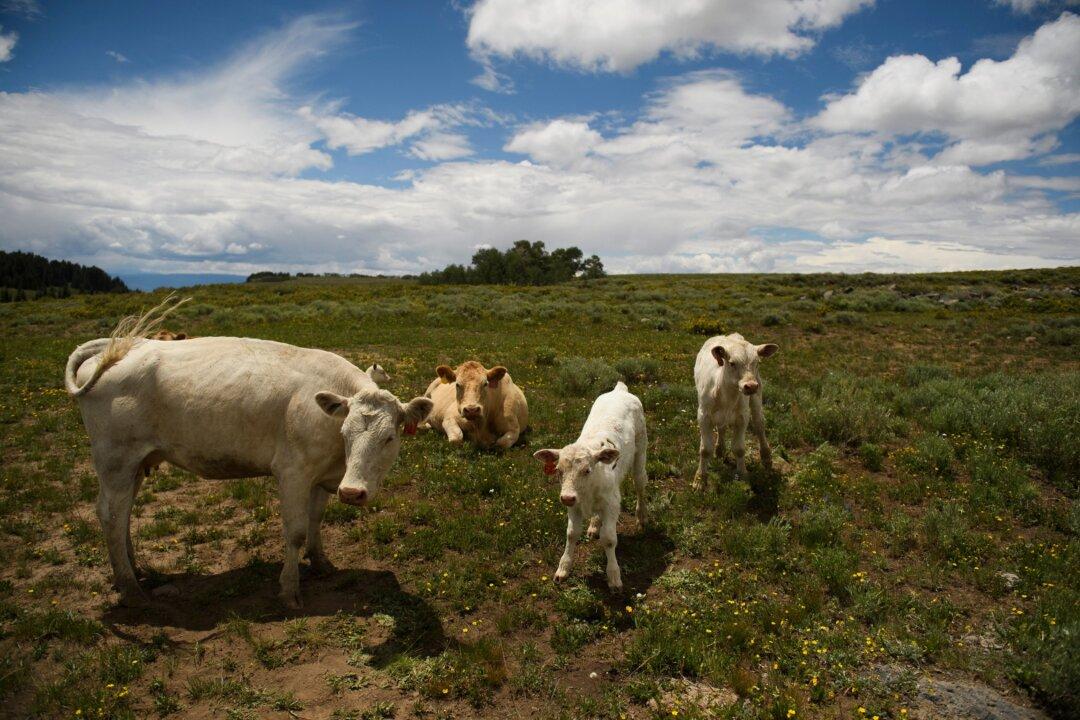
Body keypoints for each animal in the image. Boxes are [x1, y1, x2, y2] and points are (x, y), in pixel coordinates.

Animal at [65, 309, 432, 609]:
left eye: (389, 438)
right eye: (345, 434)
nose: (352, 492)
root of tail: (124, 347)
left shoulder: (322, 476)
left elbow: (315, 520)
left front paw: (321, 563)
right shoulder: (292, 473)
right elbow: (296, 531)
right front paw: (289, 590)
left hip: (136, 464)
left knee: (124, 513)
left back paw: (133, 571)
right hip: (115, 460)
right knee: (111, 514)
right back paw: (131, 589)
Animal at [532, 381, 647, 592]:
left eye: (587, 470)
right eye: (558, 470)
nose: (566, 498)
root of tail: (620, 390)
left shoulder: (611, 503)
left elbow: (609, 539)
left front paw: (614, 577)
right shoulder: (574, 505)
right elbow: (571, 534)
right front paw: (563, 569)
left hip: (641, 449)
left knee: (640, 483)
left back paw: (642, 517)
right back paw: (594, 525)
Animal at [693, 333, 778, 490]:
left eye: (757, 363)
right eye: (732, 363)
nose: (751, 386)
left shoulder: (742, 417)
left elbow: (739, 449)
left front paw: (743, 475)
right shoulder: (703, 416)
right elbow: (705, 449)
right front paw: (700, 480)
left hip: (757, 397)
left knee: (759, 425)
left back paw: (766, 457)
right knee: (722, 427)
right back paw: (720, 450)